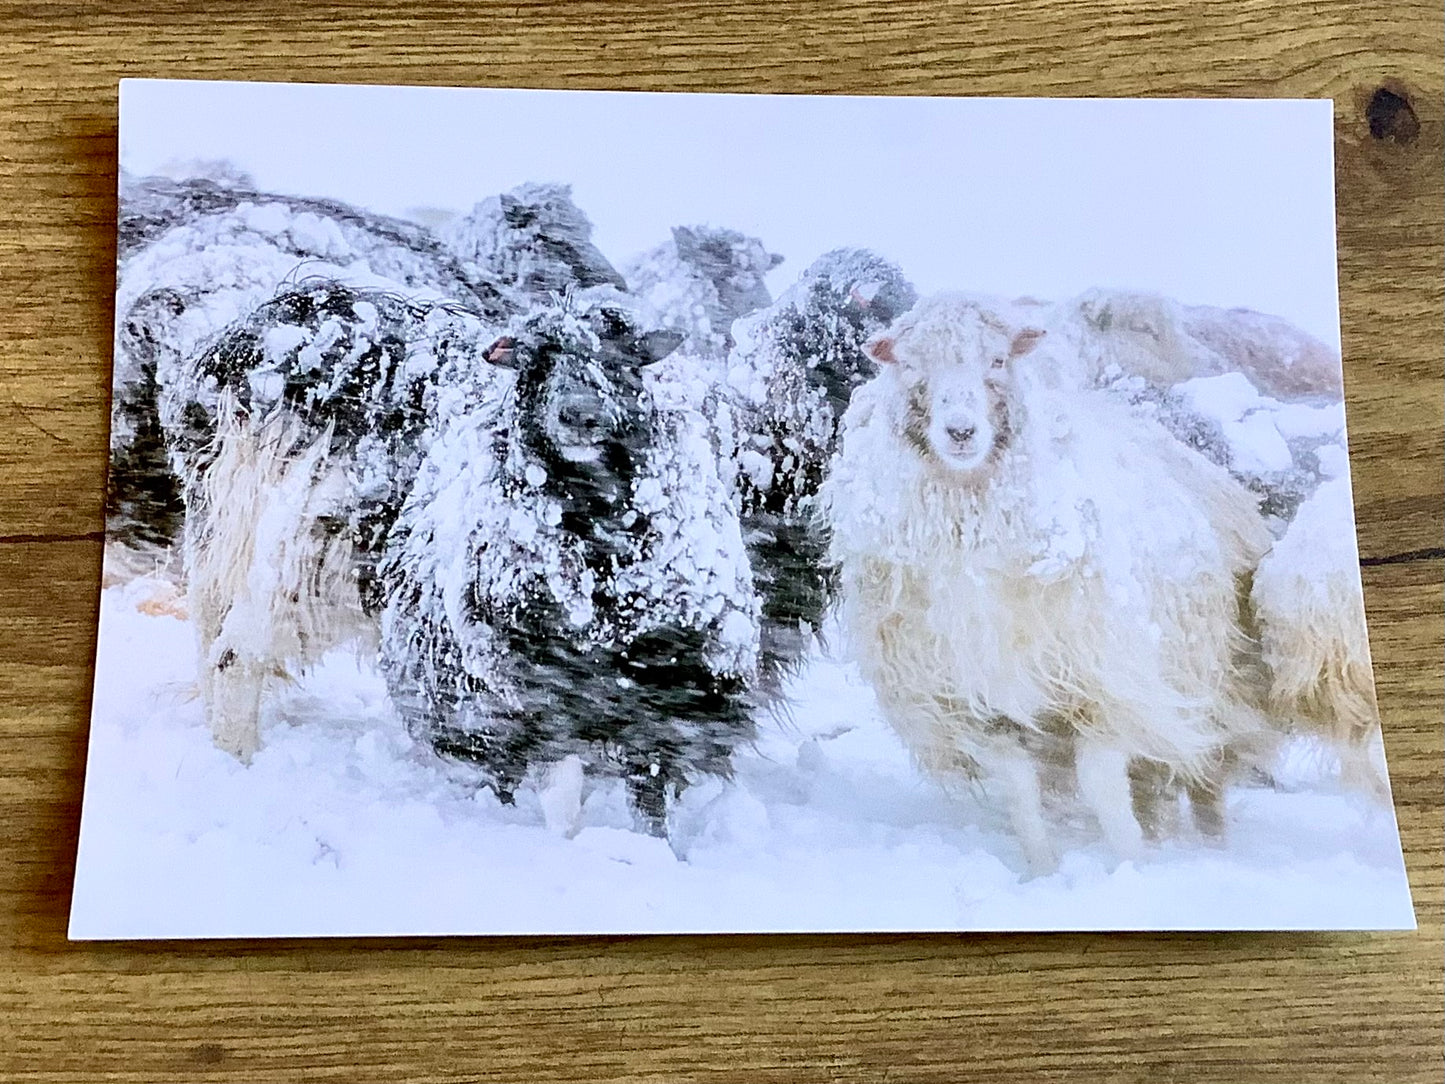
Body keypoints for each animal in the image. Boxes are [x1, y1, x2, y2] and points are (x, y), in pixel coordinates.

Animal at [379, 297, 761, 835]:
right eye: (536, 357)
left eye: (623, 359)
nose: (580, 414)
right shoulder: (535, 680)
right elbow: (560, 780)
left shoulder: (668, 678)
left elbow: (649, 783)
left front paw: (656, 843)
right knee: (505, 767)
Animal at [821, 292, 1273, 874]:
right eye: (910, 366)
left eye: (997, 360)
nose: (961, 432)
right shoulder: (973, 702)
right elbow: (1020, 790)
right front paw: (1043, 869)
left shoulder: (1102, 685)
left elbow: (1102, 785)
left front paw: (1129, 867)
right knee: (1149, 783)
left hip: (1208, 681)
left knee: (1202, 778)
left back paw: (1211, 847)